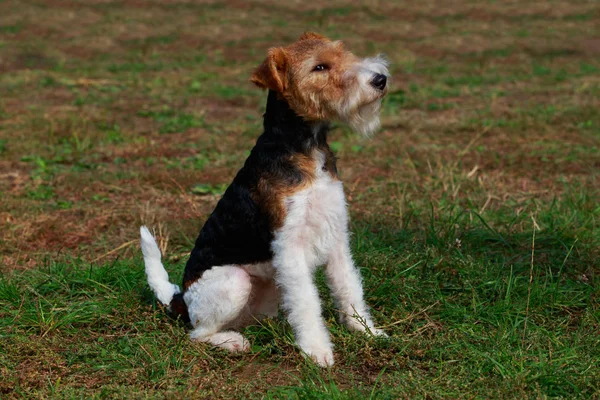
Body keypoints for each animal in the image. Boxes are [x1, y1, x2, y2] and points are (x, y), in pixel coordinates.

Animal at [139, 32, 390, 368]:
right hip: (234, 281)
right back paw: (233, 342)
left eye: (342, 51)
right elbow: (308, 303)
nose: (380, 79)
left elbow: (349, 289)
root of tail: (182, 299)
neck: (303, 146)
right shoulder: (290, 245)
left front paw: (367, 332)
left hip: (269, 286)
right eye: (319, 67)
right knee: (197, 334)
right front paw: (317, 351)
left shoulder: (336, 234)